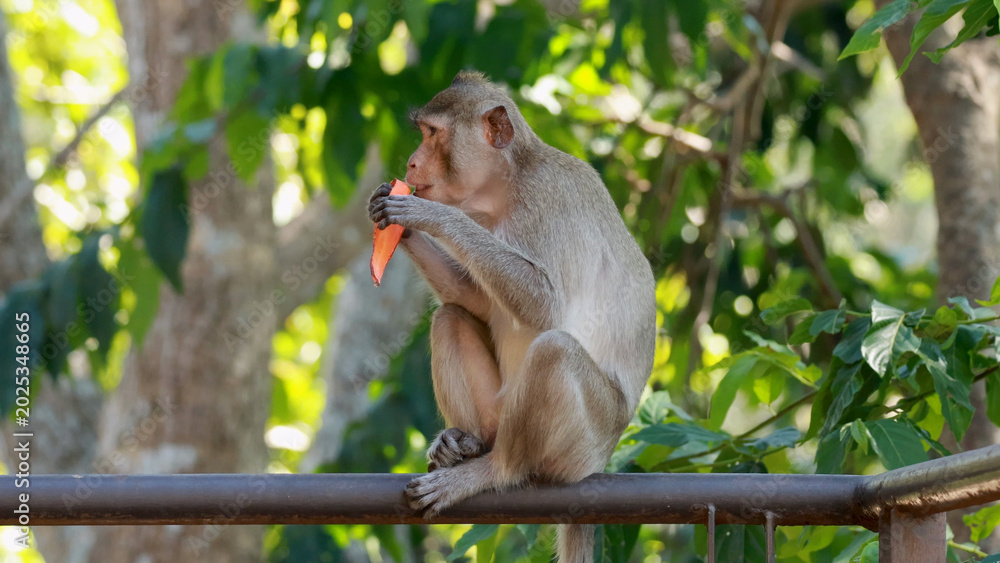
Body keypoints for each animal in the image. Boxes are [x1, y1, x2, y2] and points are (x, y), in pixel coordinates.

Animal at [368, 71, 656, 562]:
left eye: (432, 133)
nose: (409, 164)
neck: (506, 186)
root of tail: (601, 458)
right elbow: (477, 301)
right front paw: (398, 225)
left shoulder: (547, 197)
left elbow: (544, 304)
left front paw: (426, 215)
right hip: (500, 410)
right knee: (450, 317)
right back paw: (466, 443)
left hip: (581, 445)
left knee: (554, 352)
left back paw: (492, 471)